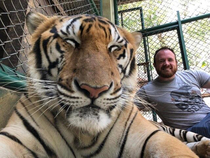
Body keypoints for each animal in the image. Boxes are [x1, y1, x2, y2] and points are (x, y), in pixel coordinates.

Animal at [0, 12, 207, 158]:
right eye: (70, 42)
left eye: (115, 48)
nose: (94, 90)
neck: (83, 134)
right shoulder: (17, 137)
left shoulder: (152, 136)